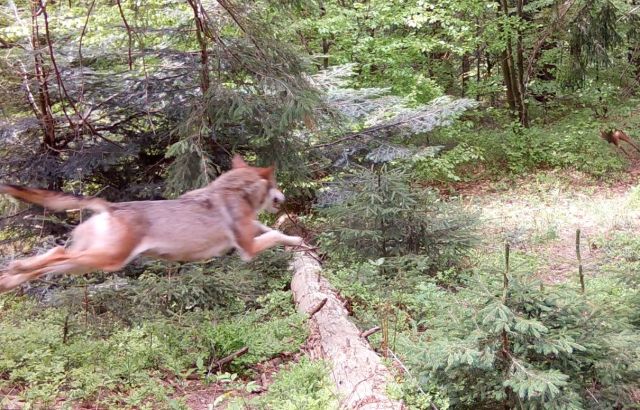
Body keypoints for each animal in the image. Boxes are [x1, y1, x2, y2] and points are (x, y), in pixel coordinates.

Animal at [0, 155, 304, 294]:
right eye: (275, 184)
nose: (284, 197)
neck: (234, 191)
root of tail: (110, 207)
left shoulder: (249, 232)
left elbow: (270, 229)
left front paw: (295, 239)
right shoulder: (247, 249)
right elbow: (275, 235)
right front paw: (297, 241)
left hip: (87, 263)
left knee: (51, 257)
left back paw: (11, 276)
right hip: (106, 260)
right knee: (55, 257)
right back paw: (16, 269)